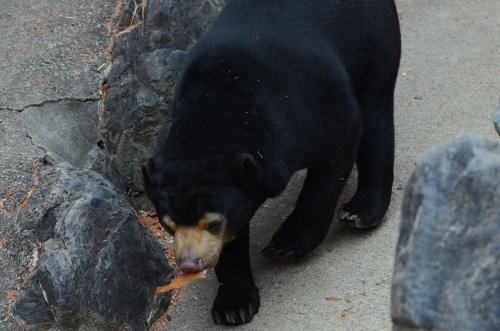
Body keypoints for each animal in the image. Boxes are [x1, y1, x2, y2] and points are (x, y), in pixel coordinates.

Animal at [143, 0, 400, 326]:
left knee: (375, 116)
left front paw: (287, 243)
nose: (190, 264)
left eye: (213, 223)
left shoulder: (307, 112)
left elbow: (337, 152)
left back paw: (361, 211)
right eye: (168, 225)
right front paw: (234, 306)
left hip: (373, 43)